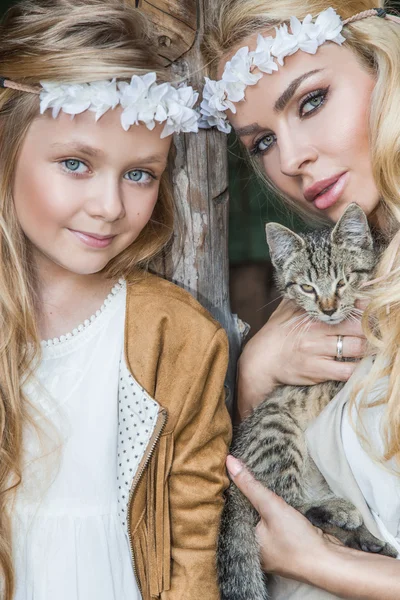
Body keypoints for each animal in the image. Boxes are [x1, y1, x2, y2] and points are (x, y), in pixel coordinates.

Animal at [219, 205, 396, 600]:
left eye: (343, 281)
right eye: (307, 287)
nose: (328, 309)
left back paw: (367, 538)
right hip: (279, 429)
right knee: (289, 501)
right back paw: (341, 511)